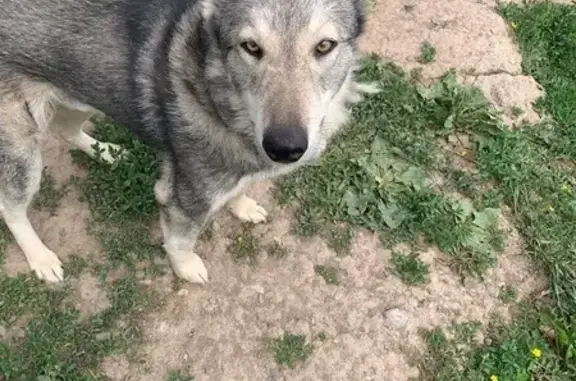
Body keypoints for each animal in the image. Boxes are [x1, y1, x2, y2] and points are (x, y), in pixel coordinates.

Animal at [0, 0, 376, 282]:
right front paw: (186, 269)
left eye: (325, 46)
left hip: (85, 95)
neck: (221, 99)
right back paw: (41, 258)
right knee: (11, 209)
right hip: (23, 156)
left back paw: (107, 152)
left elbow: (238, 188)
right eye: (251, 47)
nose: (285, 148)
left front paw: (242, 206)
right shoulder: (183, 197)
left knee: (64, 128)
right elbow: (181, 241)